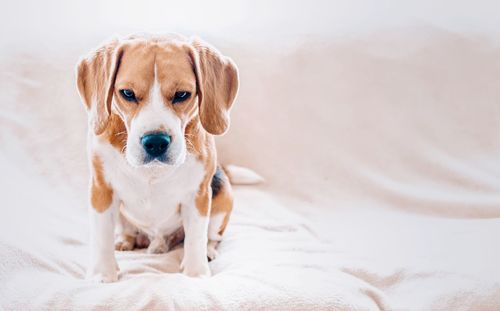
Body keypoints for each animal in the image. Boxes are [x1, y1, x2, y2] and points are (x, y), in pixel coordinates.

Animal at [76, 33, 238, 282]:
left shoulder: (198, 195)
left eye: (182, 95)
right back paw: (126, 241)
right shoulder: (101, 190)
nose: (155, 142)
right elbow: (102, 236)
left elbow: (196, 238)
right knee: (128, 231)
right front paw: (103, 274)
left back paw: (207, 252)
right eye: (127, 93)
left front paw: (196, 273)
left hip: (222, 198)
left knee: (210, 237)